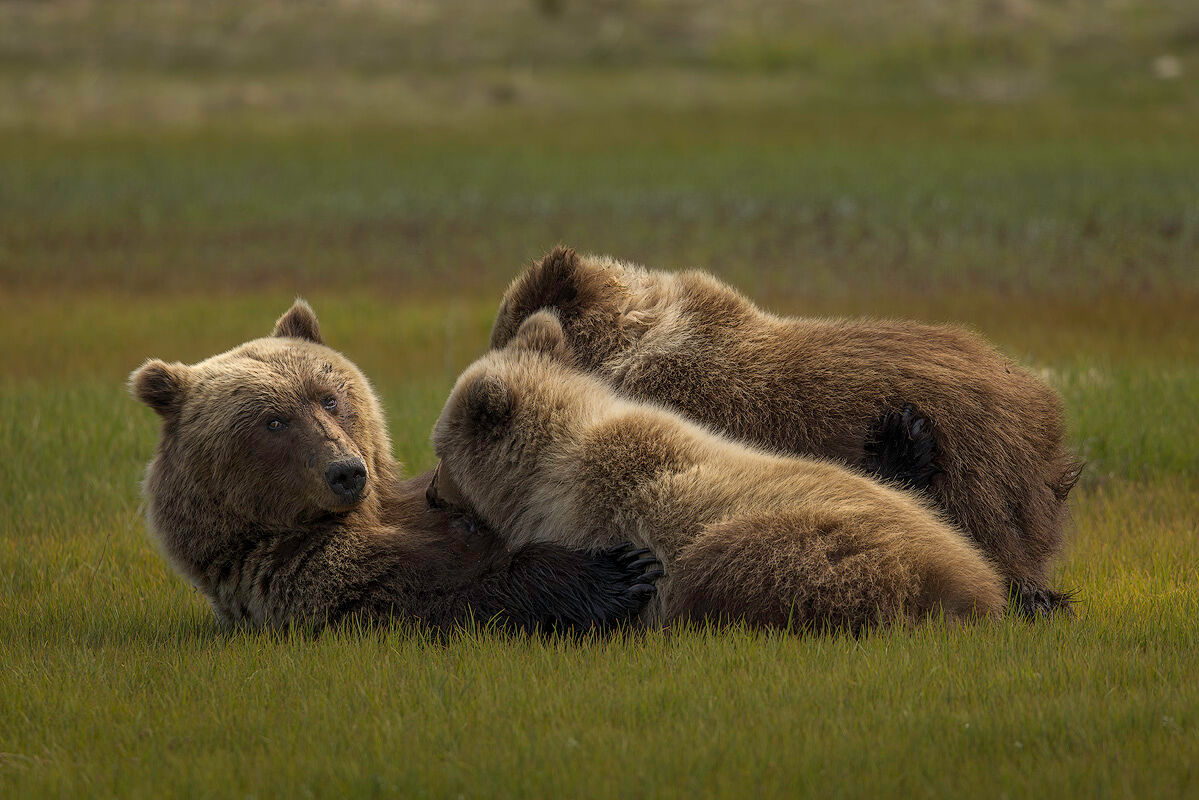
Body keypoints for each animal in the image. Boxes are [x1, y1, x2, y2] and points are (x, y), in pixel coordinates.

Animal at [128, 299, 664, 632]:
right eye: (273, 422)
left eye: (329, 398)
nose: (346, 471)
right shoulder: (318, 573)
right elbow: (452, 597)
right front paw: (619, 571)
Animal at [430, 311, 1007, 633]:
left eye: (440, 452)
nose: (433, 494)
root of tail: (976, 587)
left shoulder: (587, 511)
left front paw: (621, 577)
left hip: (796, 549)